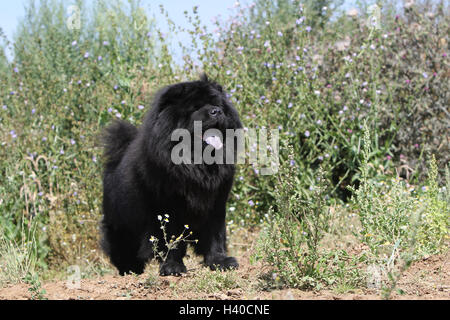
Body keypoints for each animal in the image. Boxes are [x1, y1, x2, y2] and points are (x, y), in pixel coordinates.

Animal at [101, 74, 243, 276]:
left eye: (217, 104)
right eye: (196, 108)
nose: (216, 111)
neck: (196, 164)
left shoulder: (216, 203)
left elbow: (215, 235)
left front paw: (220, 261)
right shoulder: (166, 208)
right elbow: (170, 240)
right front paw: (172, 267)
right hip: (121, 227)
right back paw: (130, 271)